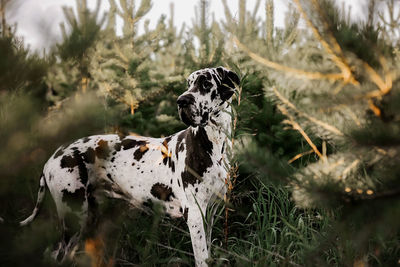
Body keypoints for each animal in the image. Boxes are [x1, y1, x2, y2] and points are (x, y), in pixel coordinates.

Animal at [20, 67, 239, 267]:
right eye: (188, 83)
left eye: (206, 83)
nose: (181, 101)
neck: (214, 143)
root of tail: (52, 157)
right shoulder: (194, 214)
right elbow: (202, 259)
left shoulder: (208, 214)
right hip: (74, 216)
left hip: (88, 218)